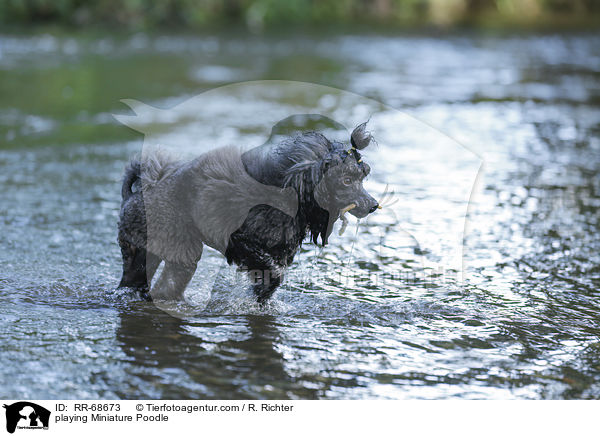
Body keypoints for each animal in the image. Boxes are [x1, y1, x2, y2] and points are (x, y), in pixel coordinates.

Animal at [116, 119, 378, 304]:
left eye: (361, 177)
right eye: (346, 181)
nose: (373, 205)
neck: (287, 191)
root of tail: (133, 196)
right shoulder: (240, 241)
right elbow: (273, 273)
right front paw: (261, 293)